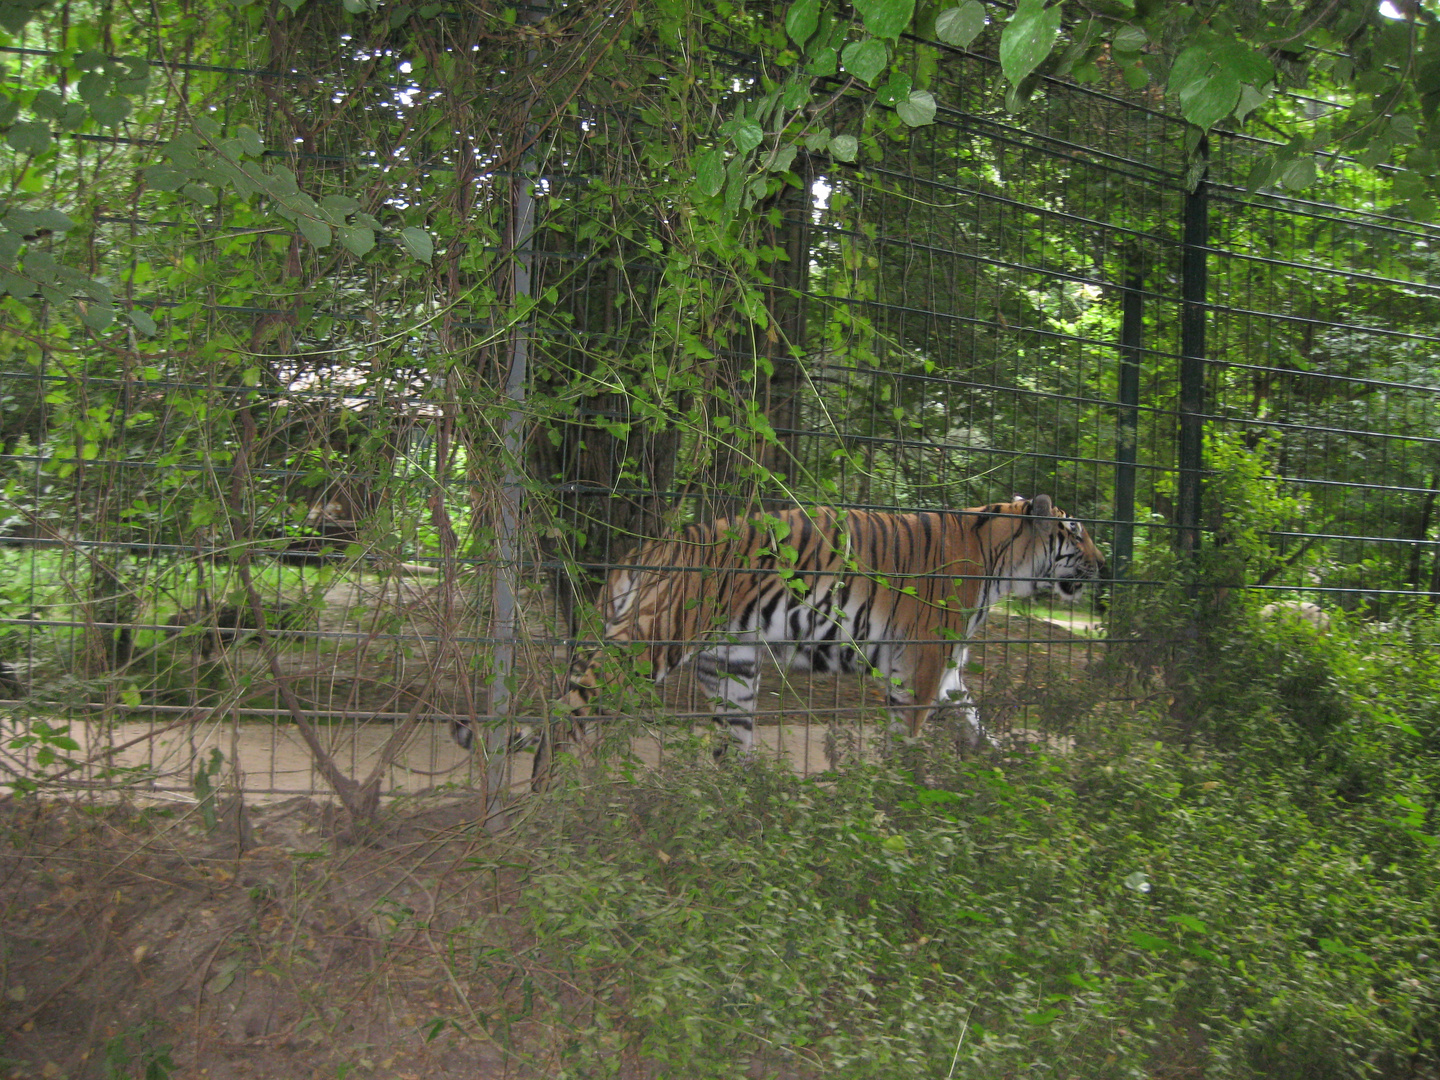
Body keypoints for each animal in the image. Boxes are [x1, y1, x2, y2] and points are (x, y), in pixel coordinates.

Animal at [449, 498, 1100, 789]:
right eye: (1078, 535)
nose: (1105, 564)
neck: (1002, 560)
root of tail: (651, 548)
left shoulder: (946, 671)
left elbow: (973, 717)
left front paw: (1001, 764)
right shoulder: (918, 668)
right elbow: (908, 736)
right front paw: (899, 793)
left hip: (731, 666)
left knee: (729, 743)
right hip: (647, 649)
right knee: (565, 719)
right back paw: (543, 803)